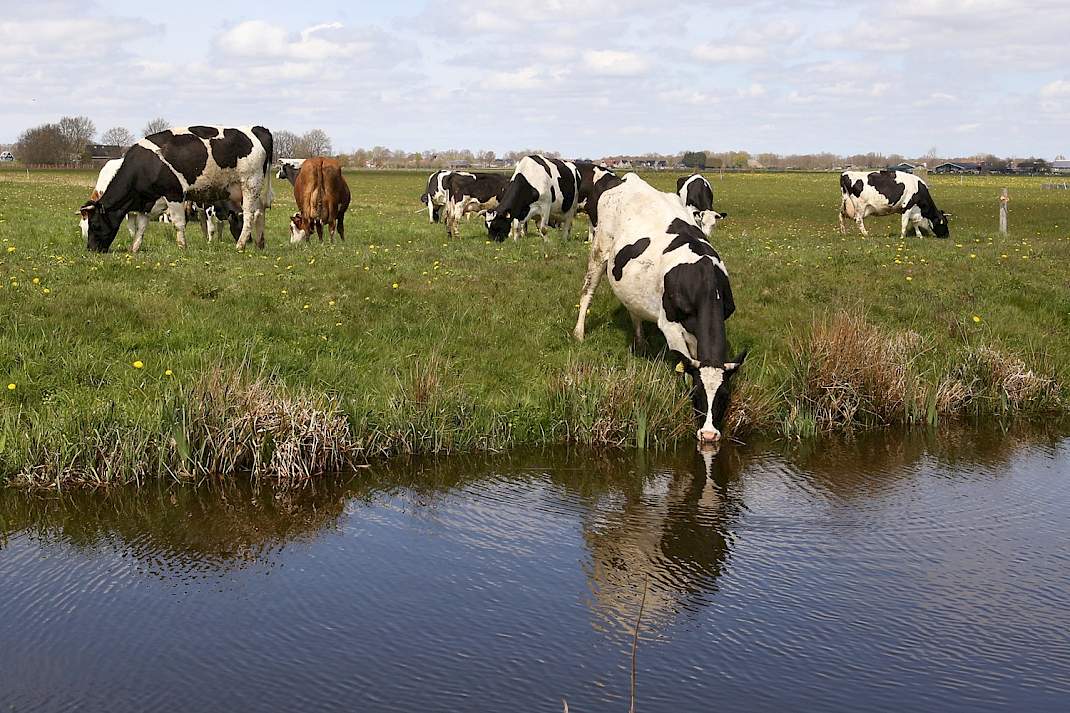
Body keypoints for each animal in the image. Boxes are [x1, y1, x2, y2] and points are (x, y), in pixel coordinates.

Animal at [79, 125, 273, 252]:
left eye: (95, 225)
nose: (91, 250)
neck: (145, 165)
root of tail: (257, 129)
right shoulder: (147, 201)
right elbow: (141, 226)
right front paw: (134, 249)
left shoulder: (174, 194)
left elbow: (178, 223)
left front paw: (182, 247)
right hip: (250, 190)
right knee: (260, 212)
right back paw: (260, 243)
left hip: (250, 183)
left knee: (250, 215)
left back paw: (240, 245)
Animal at [573, 173, 746, 446]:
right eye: (696, 394)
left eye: (724, 396)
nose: (709, 435)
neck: (702, 279)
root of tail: (628, 178)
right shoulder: (671, 327)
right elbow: (684, 365)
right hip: (600, 248)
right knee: (587, 291)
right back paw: (579, 333)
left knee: (633, 308)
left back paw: (641, 341)